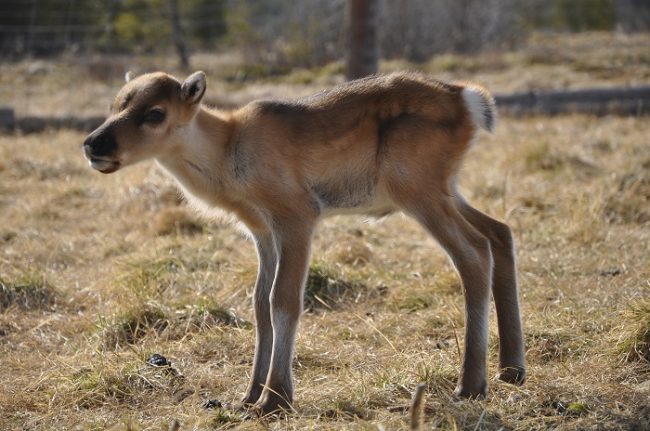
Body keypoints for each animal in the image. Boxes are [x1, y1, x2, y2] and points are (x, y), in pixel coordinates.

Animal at [83, 71, 524, 416]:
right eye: (115, 104)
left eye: (155, 113)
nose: (93, 144)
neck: (226, 154)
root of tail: (469, 99)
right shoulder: (261, 231)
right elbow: (259, 304)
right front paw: (249, 395)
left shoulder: (296, 217)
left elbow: (284, 300)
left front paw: (276, 398)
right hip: (446, 188)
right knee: (500, 232)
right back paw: (511, 369)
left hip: (416, 189)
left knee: (473, 252)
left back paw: (471, 384)